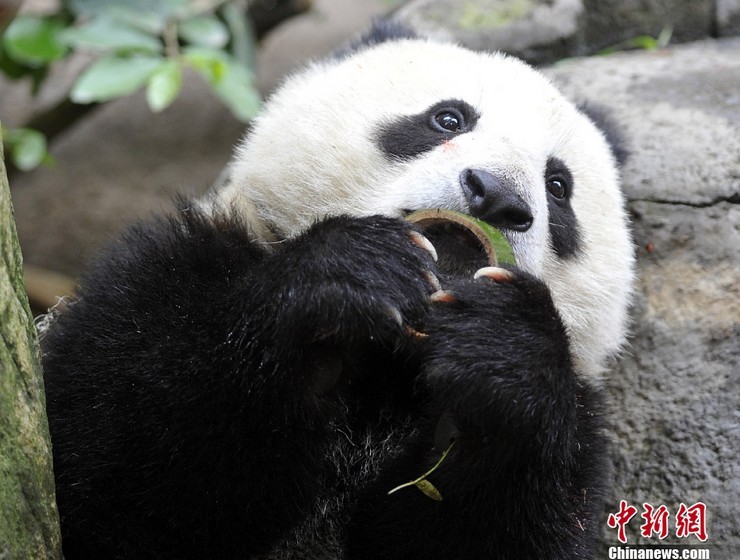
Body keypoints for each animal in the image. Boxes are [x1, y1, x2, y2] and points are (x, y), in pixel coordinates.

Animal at [41, 22, 634, 560]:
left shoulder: (579, 435)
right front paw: (354, 274)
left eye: (558, 186)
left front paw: (500, 348)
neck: (391, 355)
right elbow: (121, 467)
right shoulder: (170, 275)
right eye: (448, 117)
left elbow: (504, 526)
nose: (497, 195)